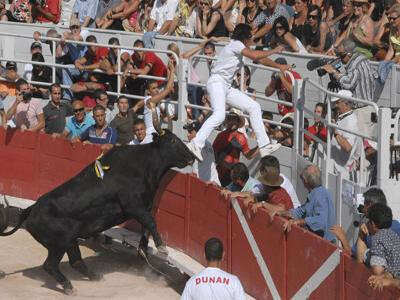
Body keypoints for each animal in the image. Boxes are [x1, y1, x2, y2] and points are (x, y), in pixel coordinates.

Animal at [0, 131, 195, 296]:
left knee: (76, 261)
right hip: (59, 244)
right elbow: (151, 222)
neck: (143, 163)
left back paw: (95, 277)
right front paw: (162, 247)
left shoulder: (145, 207)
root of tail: (31, 210)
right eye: (173, 140)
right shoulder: (134, 207)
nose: (192, 157)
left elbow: (146, 227)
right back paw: (69, 287)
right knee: (50, 265)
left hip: (70, 240)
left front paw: (143, 251)